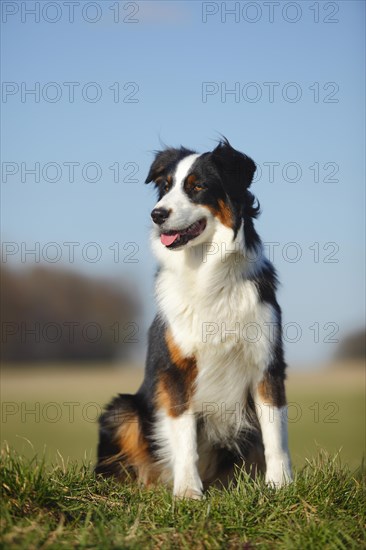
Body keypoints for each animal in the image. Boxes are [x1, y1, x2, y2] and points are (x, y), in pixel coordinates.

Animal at [96, 139, 292, 500]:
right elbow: (184, 436)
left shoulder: (266, 363)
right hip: (123, 410)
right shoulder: (177, 368)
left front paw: (280, 485)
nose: (157, 214)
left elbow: (275, 432)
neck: (206, 271)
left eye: (197, 186)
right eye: (165, 186)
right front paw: (187, 491)